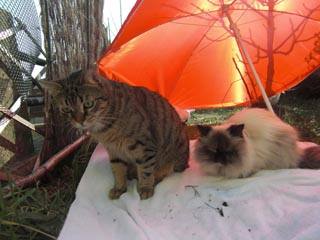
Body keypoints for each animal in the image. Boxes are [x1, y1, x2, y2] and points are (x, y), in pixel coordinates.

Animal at [41, 68, 189, 200]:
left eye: (88, 104)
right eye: (67, 109)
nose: (79, 121)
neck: (105, 129)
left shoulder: (144, 147)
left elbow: (145, 170)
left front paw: (145, 188)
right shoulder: (113, 150)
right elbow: (117, 169)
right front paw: (119, 188)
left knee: (166, 170)